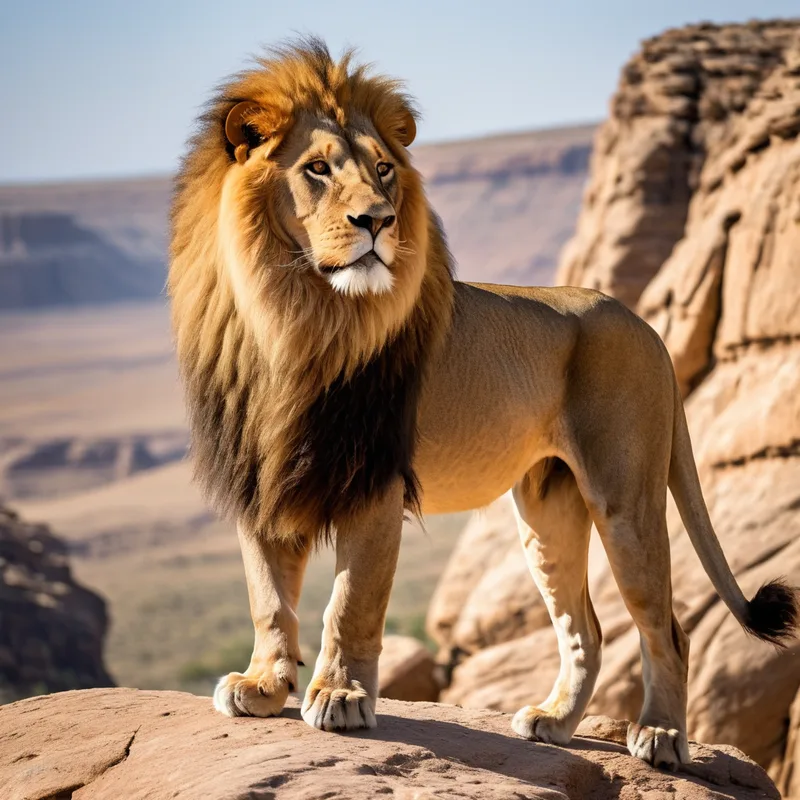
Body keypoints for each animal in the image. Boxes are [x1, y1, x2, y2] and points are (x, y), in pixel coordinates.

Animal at [169, 39, 799, 769]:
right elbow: (269, 598)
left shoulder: (374, 479)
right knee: (587, 630)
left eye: (384, 170)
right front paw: (264, 686)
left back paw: (663, 738)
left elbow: (351, 599)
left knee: (667, 627)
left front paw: (342, 697)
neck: (292, 318)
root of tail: (645, 324)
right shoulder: (263, 477)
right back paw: (554, 722)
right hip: (548, 511)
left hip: (626, 498)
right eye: (317, 169)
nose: (378, 221)